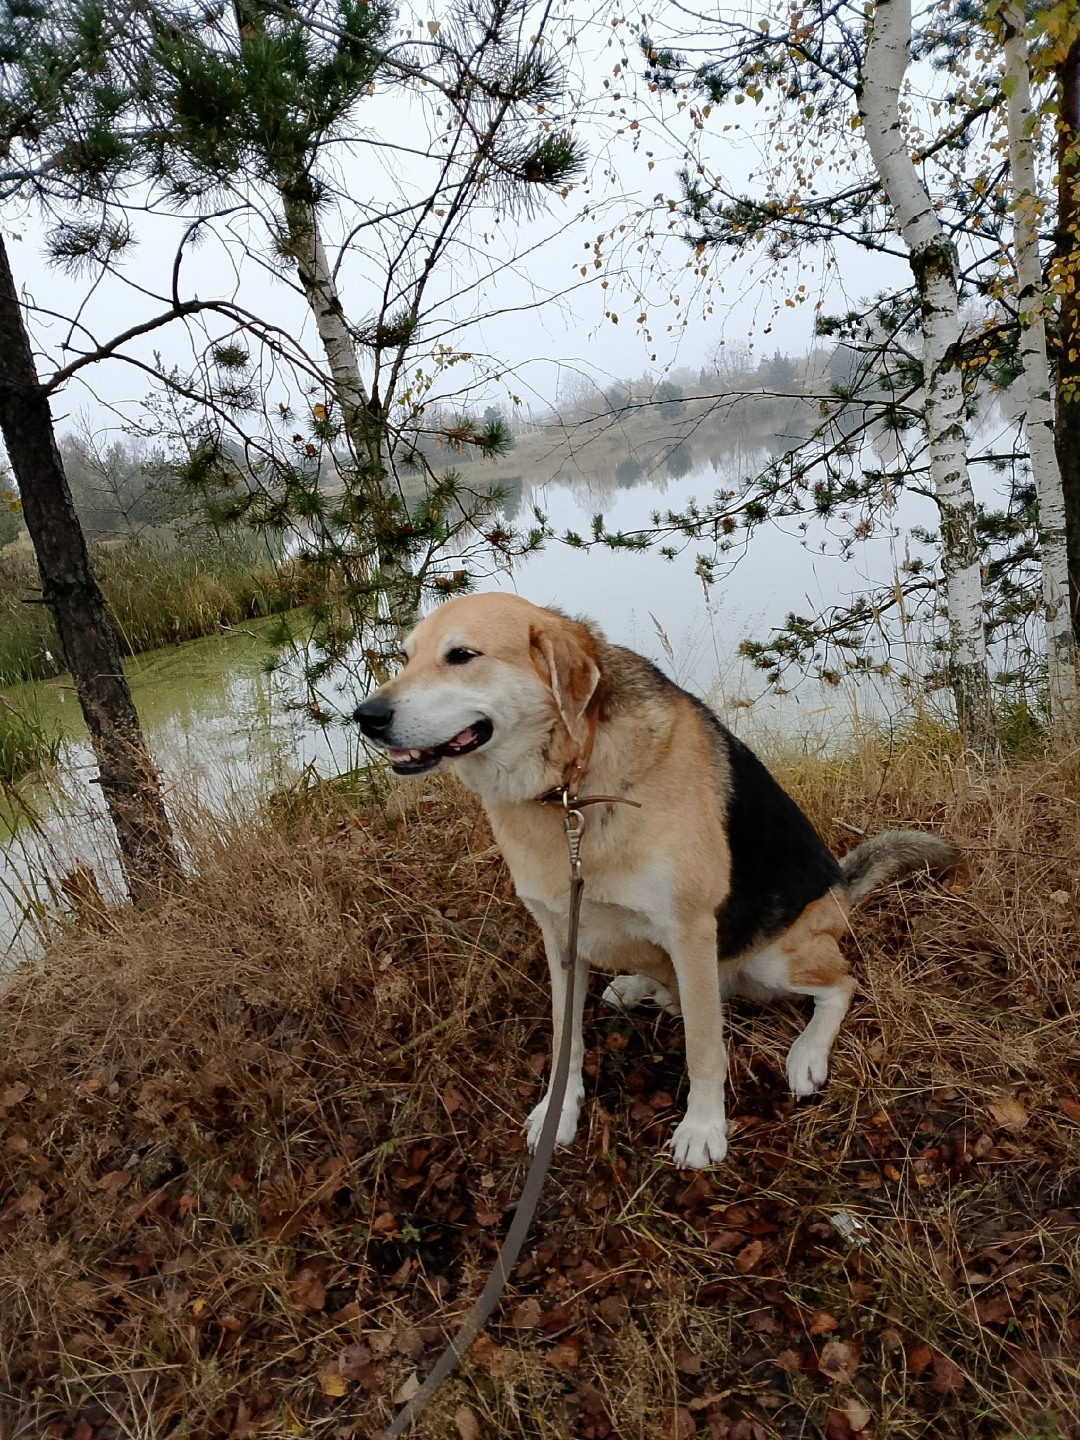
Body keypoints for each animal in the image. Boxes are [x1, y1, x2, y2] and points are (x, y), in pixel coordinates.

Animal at [353, 593, 958, 1169]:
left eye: (461, 655)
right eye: (405, 657)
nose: (366, 717)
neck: (572, 788)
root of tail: (839, 895)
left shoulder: (690, 929)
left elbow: (704, 1048)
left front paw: (704, 1129)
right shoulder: (560, 935)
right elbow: (567, 1040)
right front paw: (559, 1113)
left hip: (774, 955)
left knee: (840, 985)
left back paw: (806, 1054)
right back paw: (639, 985)